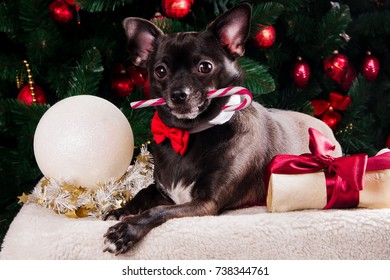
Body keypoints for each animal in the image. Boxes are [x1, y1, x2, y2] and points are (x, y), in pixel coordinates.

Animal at [104, 3, 342, 255]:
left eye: (205, 67)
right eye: (160, 71)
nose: (178, 94)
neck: (189, 134)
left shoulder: (205, 204)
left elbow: (157, 211)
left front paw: (124, 231)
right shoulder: (163, 191)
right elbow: (143, 192)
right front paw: (121, 211)